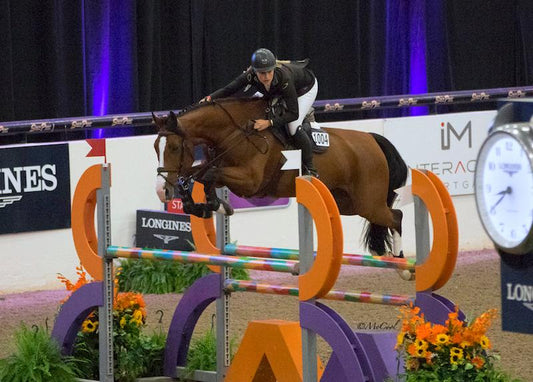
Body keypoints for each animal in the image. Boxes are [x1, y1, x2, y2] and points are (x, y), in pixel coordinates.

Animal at [152, 97, 410, 260]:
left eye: (174, 147)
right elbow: (200, 177)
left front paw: (217, 205)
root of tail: (372, 140)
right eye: (156, 147)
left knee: (396, 216)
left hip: (368, 203)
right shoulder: (219, 167)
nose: (161, 191)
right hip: (347, 203)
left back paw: (400, 259)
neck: (235, 131)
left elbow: (209, 176)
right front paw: (204, 206)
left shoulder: (251, 182)